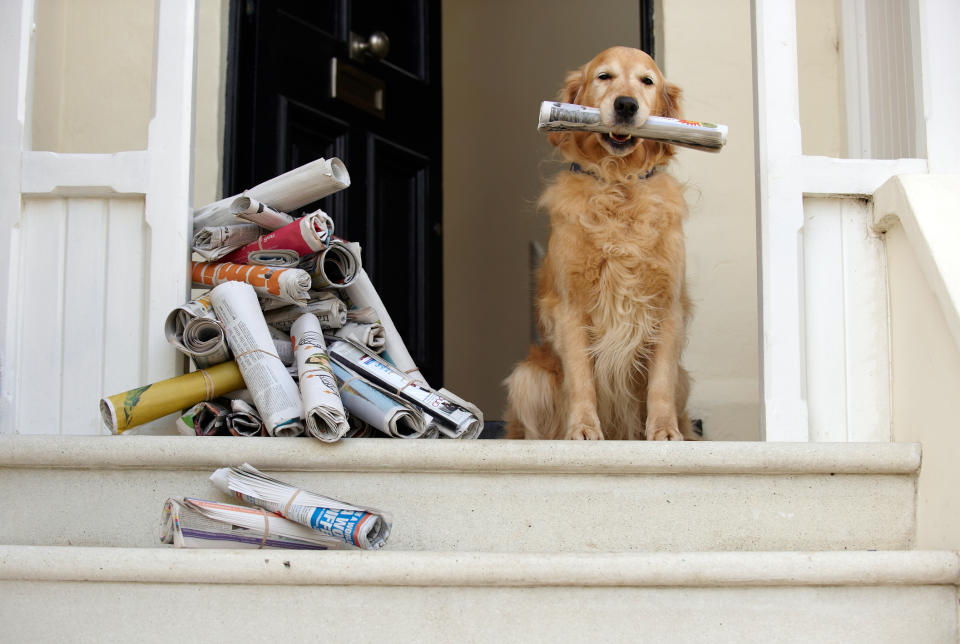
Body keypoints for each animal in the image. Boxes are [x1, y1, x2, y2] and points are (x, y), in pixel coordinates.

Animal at [502, 44, 696, 438]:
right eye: (604, 76)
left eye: (647, 81)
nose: (626, 104)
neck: (619, 183)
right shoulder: (570, 306)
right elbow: (581, 379)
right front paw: (582, 428)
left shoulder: (668, 305)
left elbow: (661, 384)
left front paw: (665, 431)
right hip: (527, 378)